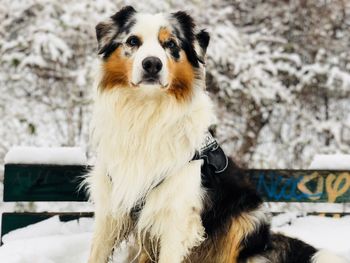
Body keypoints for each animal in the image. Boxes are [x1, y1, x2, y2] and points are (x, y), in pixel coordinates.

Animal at [85, 5, 348, 263]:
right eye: (132, 41)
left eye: (170, 44)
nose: (152, 64)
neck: (146, 111)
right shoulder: (111, 208)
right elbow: (96, 253)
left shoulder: (178, 215)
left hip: (247, 218)